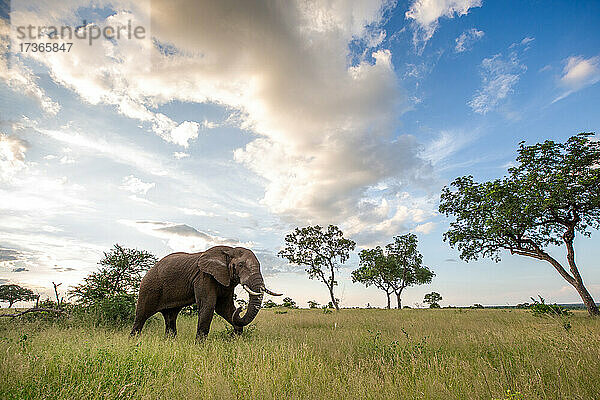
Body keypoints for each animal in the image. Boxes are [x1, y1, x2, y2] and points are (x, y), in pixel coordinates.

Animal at [131, 245, 282, 340]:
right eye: (240, 265)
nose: (240, 308)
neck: (229, 250)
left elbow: (225, 308)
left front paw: (236, 338)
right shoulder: (204, 276)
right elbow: (208, 305)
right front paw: (200, 346)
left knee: (170, 317)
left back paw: (170, 342)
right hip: (149, 287)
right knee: (141, 316)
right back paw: (134, 342)